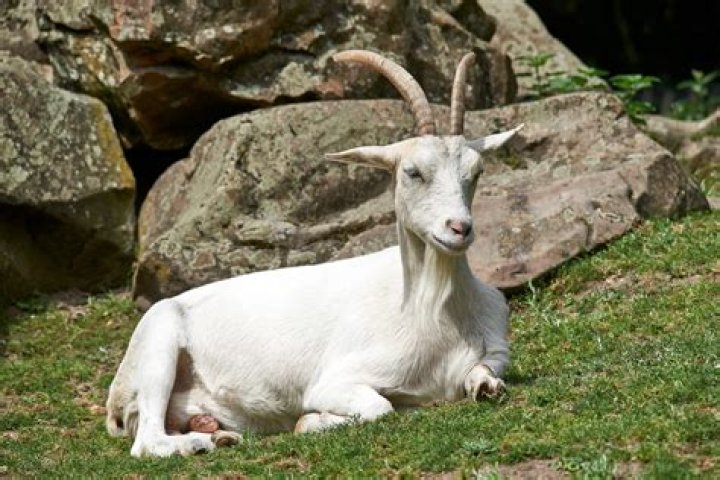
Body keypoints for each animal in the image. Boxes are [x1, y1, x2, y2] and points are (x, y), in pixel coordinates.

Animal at [106, 50, 522, 457]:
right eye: (413, 171)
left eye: (477, 171)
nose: (459, 228)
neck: (434, 312)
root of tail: (115, 402)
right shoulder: (335, 381)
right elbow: (378, 407)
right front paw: (310, 422)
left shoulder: (495, 351)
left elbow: (488, 381)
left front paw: (483, 387)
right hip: (159, 345)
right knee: (148, 443)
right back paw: (199, 443)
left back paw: (217, 433)